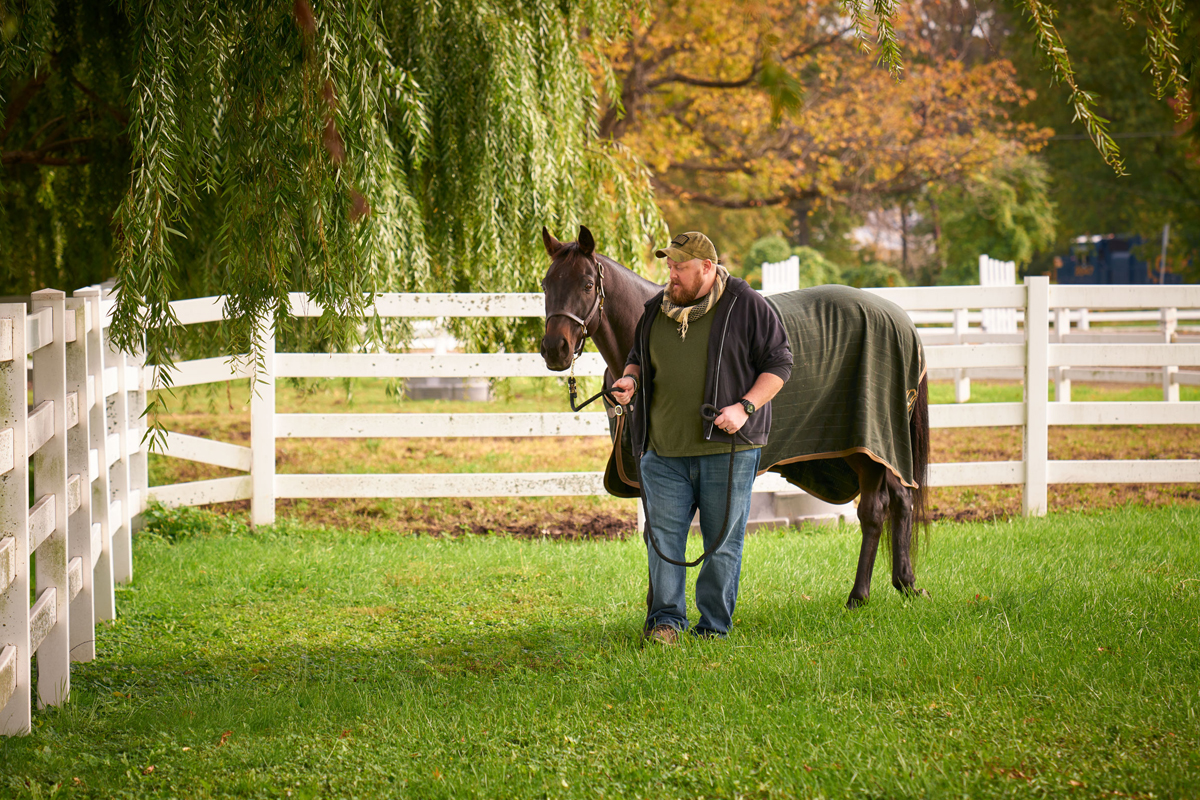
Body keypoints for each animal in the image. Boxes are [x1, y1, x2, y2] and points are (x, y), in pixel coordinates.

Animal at [539, 225, 930, 609]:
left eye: (587, 284)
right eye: (545, 284)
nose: (554, 349)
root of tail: (900, 319)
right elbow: (658, 530)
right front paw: (657, 608)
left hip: (869, 446)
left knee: (874, 510)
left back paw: (859, 595)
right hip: (881, 449)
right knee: (901, 498)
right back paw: (906, 583)